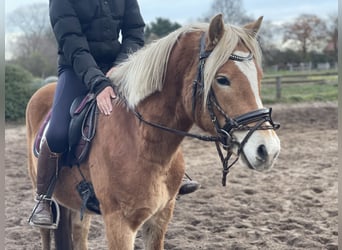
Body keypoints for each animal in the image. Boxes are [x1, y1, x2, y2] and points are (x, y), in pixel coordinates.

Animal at [24, 14, 280, 250]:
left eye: (259, 77)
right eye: (222, 79)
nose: (268, 150)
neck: (144, 142)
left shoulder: (160, 217)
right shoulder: (119, 224)